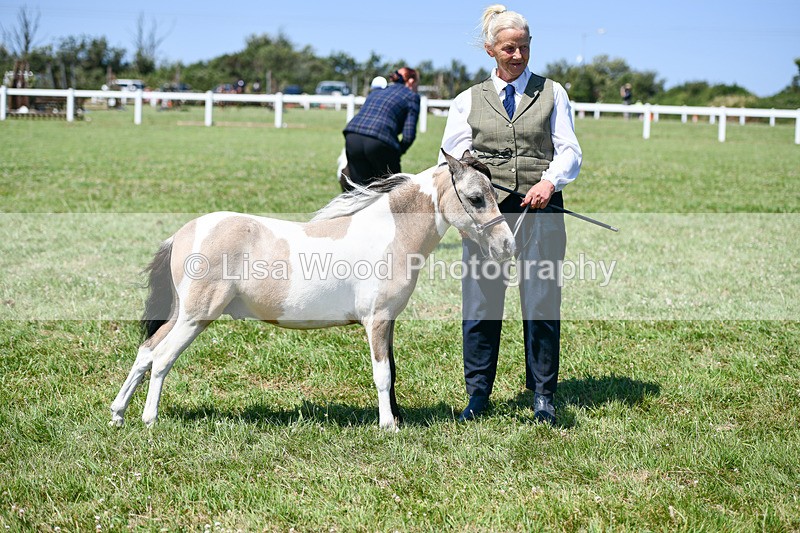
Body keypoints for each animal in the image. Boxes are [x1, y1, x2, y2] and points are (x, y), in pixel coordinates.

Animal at [109, 150, 516, 431]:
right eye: (476, 198)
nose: (507, 245)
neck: (390, 235)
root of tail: (182, 234)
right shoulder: (377, 321)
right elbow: (382, 374)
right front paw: (389, 426)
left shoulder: (387, 322)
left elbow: (392, 371)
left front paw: (396, 418)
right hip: (196, 317)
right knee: (162, 358)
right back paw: (148, 419)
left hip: (182, 314)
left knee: (146, 351)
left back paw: (118, 414)